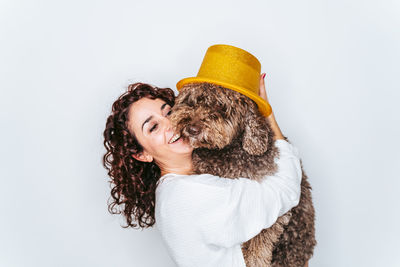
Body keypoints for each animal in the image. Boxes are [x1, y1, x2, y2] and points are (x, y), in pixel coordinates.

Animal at [169, 82, 316, 266]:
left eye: (220, 105)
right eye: (192, 100)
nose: (192, 128)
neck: (227, 152)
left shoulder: (271, 211)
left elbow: (258, 243)